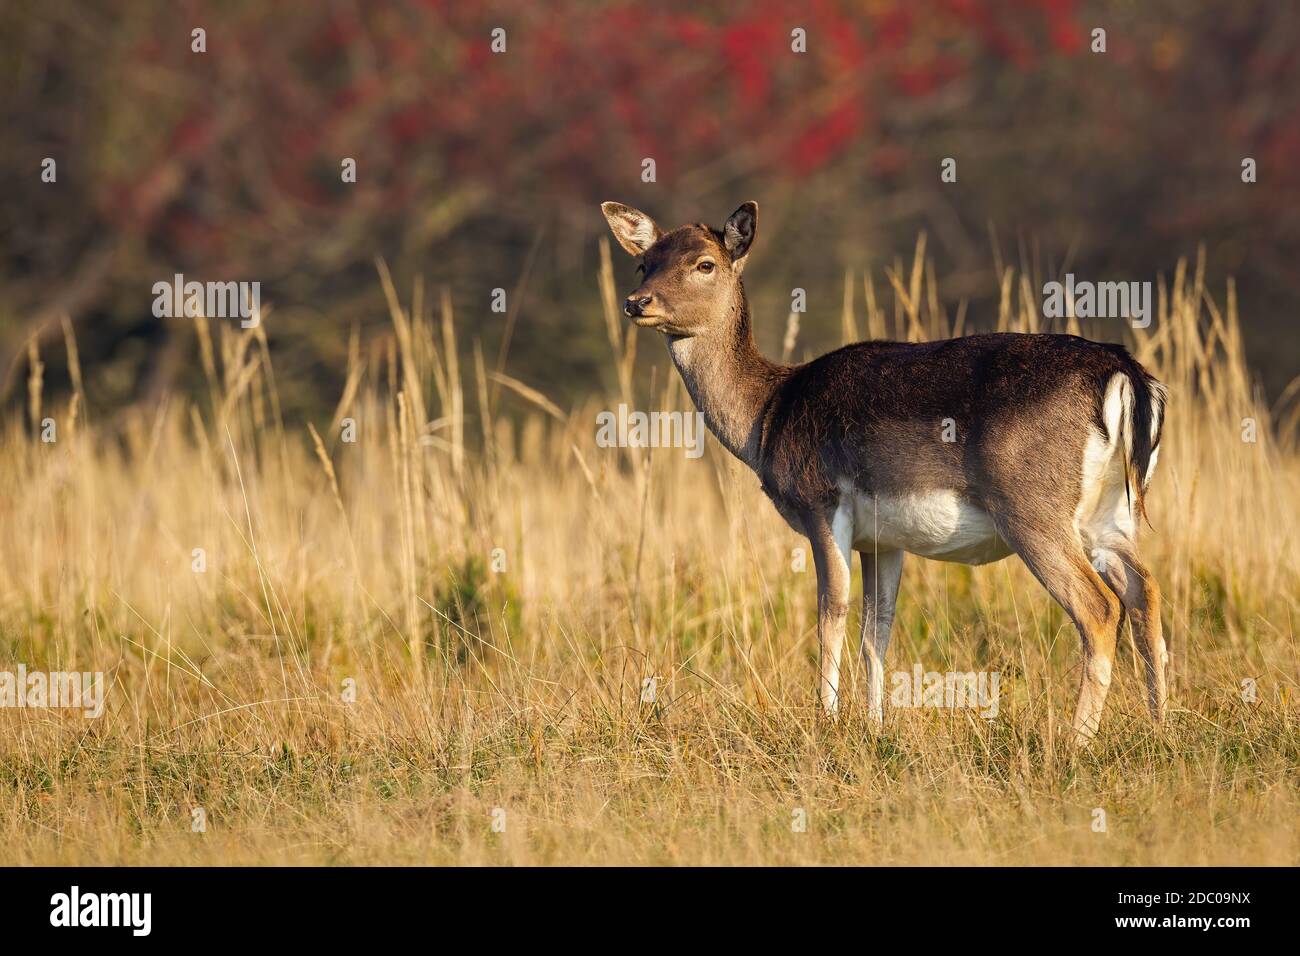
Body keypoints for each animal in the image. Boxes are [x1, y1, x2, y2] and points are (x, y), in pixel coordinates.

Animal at [603, 197, 1175, 743]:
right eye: (643, 264)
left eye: (704, 263)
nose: (637, 302)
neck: (767, 416)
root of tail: (1125, 375)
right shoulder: (883, 539)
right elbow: (876, 630)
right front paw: (875, 727)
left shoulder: (821, 501)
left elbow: (831, 612)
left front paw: (827, 722)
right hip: (1110, 512)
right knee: (1144, 589)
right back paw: (1159, 725)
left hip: (1031, 503)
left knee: (1099, 608)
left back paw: (1077, 740)